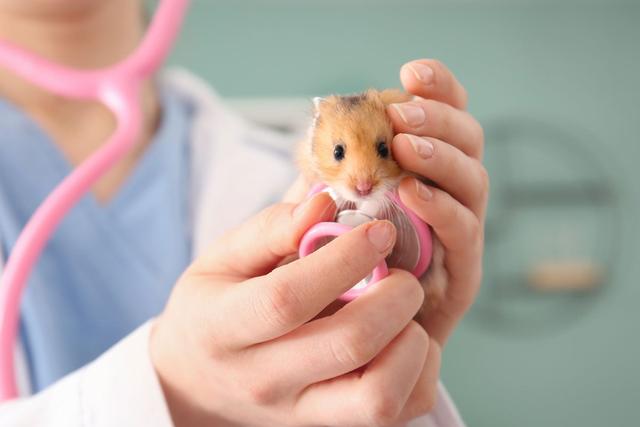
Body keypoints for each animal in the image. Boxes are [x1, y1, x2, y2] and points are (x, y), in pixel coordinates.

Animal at [297, 89, 446, 313]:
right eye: (337, 151)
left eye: (384, 148)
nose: (363, 188)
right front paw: (333, 198)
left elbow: (373, 205)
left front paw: (357, 216)